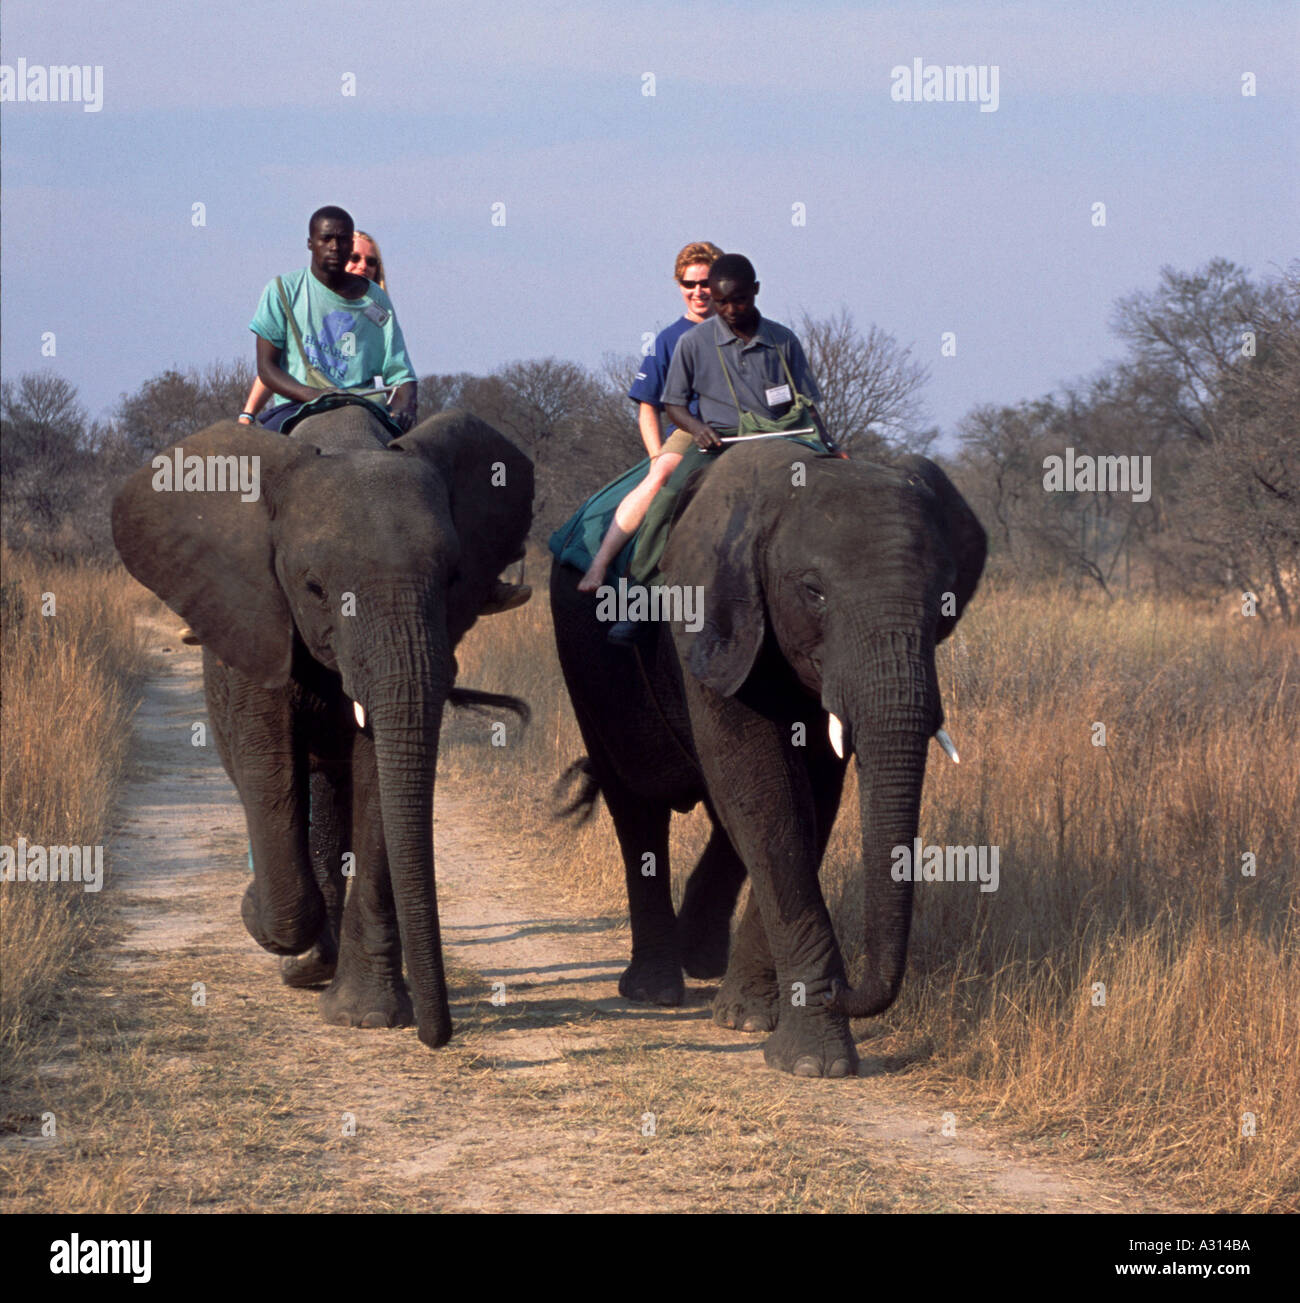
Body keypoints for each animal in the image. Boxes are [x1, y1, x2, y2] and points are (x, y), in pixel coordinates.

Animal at [112, 405, 534, 1048]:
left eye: (454, 577)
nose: (438, 1036)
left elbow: (377, 778)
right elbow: (266, 761)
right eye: (314, 588)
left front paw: (368, 1017)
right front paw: (259, 917)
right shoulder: (252, 610)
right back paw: (304, 959)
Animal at [550, 440, 986, 1077]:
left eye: (945, 601)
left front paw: (750, 1021)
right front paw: (815, 1062)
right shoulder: (707, 615)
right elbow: (762, 788)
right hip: (585, 656)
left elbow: (808, 796)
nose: (844, 990)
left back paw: (702, 962)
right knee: (636, 803)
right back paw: (655, 990)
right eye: (814, 591)